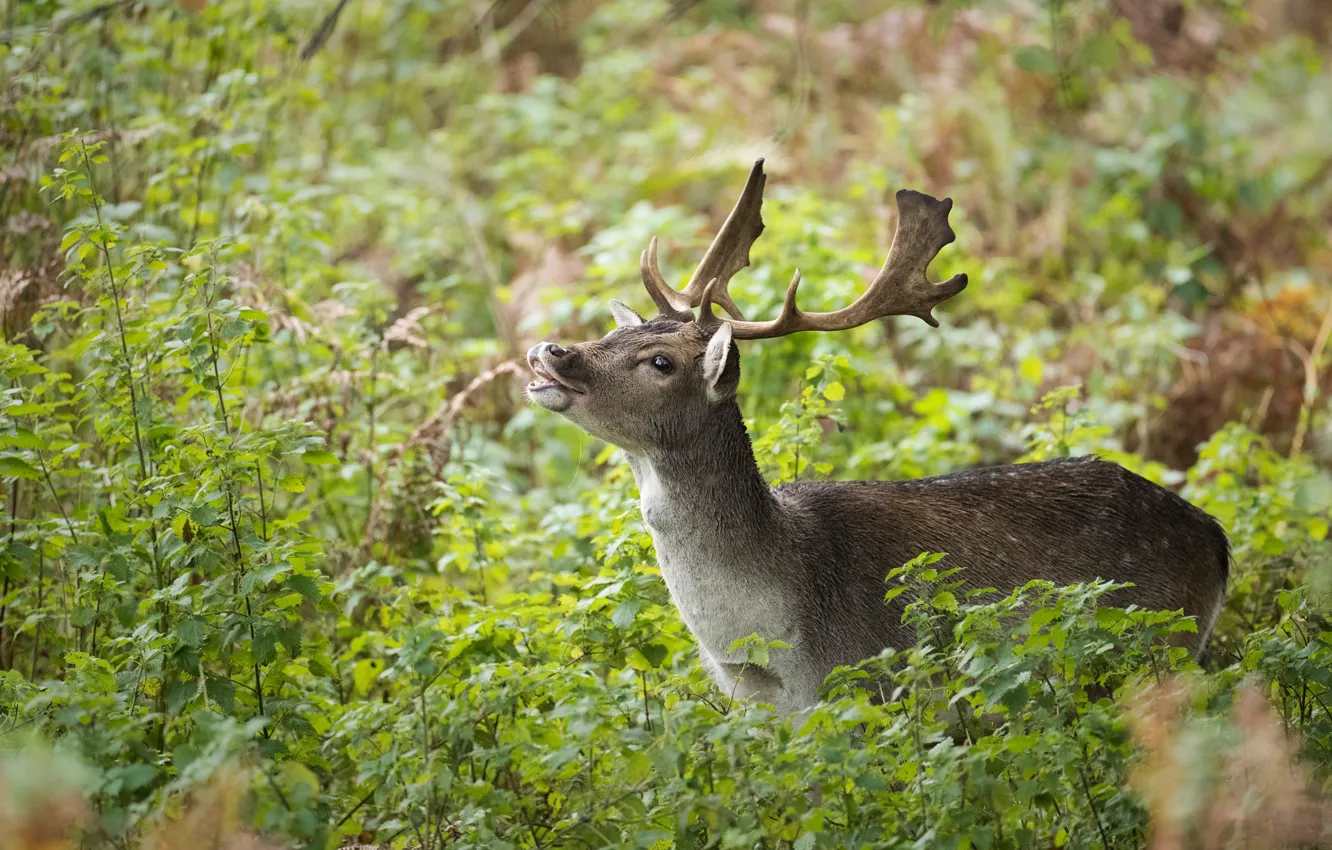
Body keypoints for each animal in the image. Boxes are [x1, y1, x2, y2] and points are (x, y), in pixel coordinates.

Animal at [524, 160, 1230, 717]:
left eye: (661, 361)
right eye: (616, 332)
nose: (548, 350)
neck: (768, 646)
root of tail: (1217, 540)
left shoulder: (871, 682)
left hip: (1157, 643)